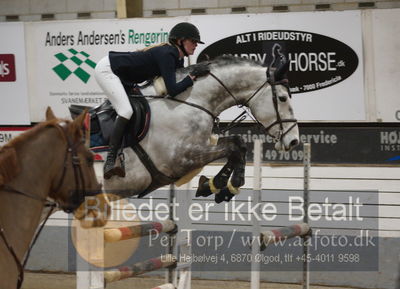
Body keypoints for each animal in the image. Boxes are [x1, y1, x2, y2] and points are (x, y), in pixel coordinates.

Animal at [72, 44, 298, 202]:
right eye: (282, 98)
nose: (294, 141)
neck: (190, 101)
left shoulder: (199, 147)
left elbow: (237, 144)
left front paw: (219, 187)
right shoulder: (181, 159)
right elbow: (232, 148)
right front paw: (219, 185)